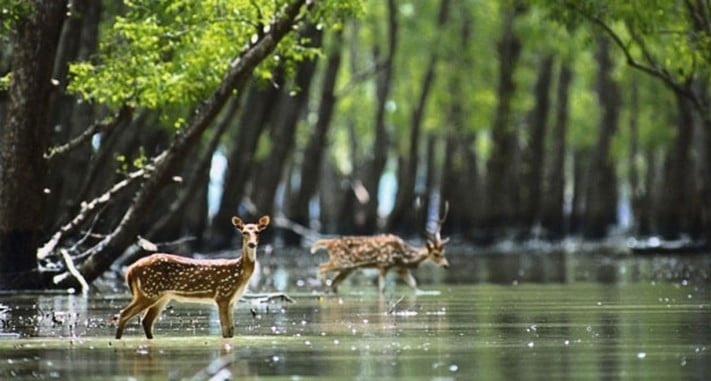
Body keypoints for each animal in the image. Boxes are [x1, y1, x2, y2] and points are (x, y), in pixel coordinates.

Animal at [115, 215, 272, 336]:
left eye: (258, 231)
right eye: (244, 232)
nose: (252, 244)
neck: (240, 274)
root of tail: (131, 269)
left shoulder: (232, 300)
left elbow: (231, 330)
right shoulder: (222, 295)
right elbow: (225, 331)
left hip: (161, 296)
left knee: (146, 321)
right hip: (148, 292)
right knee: (124, 314)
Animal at [312, 203, 450, 292]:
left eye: (444, 252)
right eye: (436, 254)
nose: (446, 265)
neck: (403, 257)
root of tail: (329, 243)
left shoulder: (401, 269)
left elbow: (414, 286)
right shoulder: (383, 264)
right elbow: (382, 289)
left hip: (348, 268)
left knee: (334, 283)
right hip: (341, 261)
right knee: (321, 267)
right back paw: (322, 285)